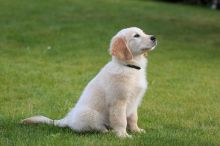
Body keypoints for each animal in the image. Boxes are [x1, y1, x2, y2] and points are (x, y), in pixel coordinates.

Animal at [21, 27, 156, 138]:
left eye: (143, 32)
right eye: (136, 36)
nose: (154, 37)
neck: (129, 67)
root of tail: (67, 119)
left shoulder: (134, 101)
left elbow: (133, 118)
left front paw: (136, 130)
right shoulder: (118, 102)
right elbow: (121, 120)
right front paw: (123, 135)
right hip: (89, 114)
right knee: (95, 128)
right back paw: (107, 132)